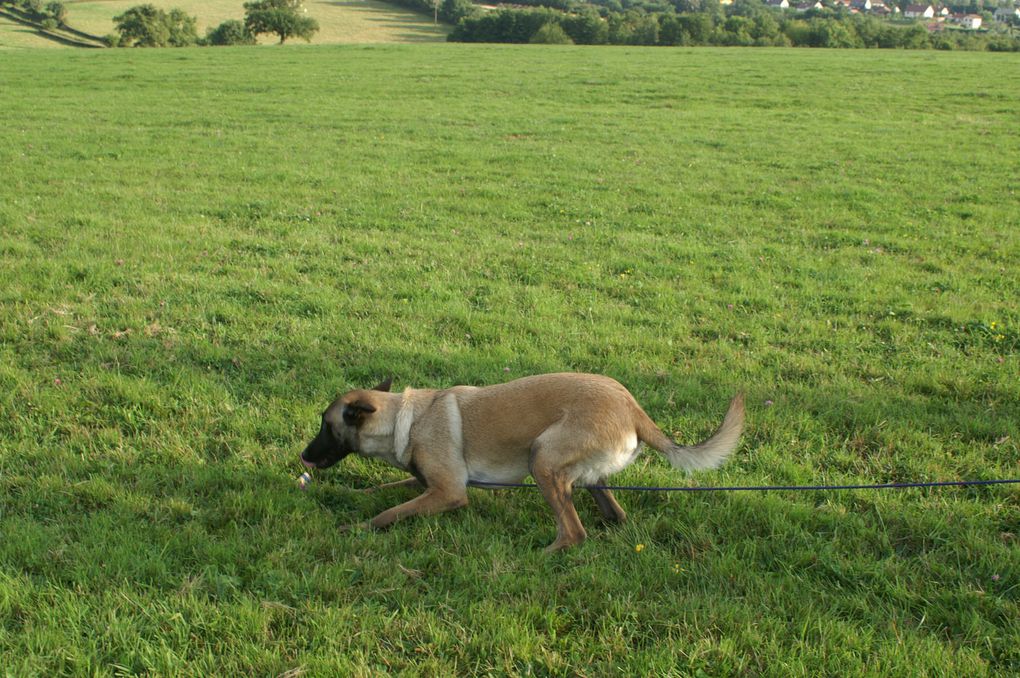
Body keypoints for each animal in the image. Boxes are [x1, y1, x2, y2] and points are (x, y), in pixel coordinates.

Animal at [297, 373, 746, 554]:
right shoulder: (426, 484)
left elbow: (388, 513)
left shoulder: (447, 492)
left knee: (575, 532)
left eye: (325, 425)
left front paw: (355, 528)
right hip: (581, 475)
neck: (405, 418)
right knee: (613, 515)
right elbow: (380, 490)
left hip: (541, 458)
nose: (303, 456)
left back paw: (537, 556)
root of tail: (634, 408)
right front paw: (347, 492)